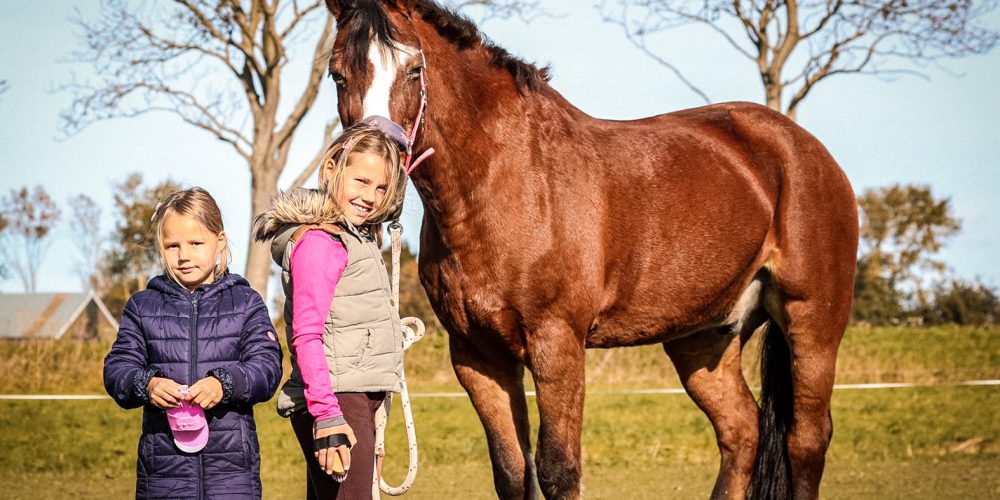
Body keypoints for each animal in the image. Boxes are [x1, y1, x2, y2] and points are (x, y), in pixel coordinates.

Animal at [322, 1, 858, 498]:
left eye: (414, 68)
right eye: (338, 73)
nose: (375, 166)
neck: (507, 180)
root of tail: (802, 147)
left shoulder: (557, 342)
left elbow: (558, 470)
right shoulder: (477, 355)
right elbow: (512, 472)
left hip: (812, 322)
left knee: (805, 440)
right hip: (704, 337)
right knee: (742, 431)